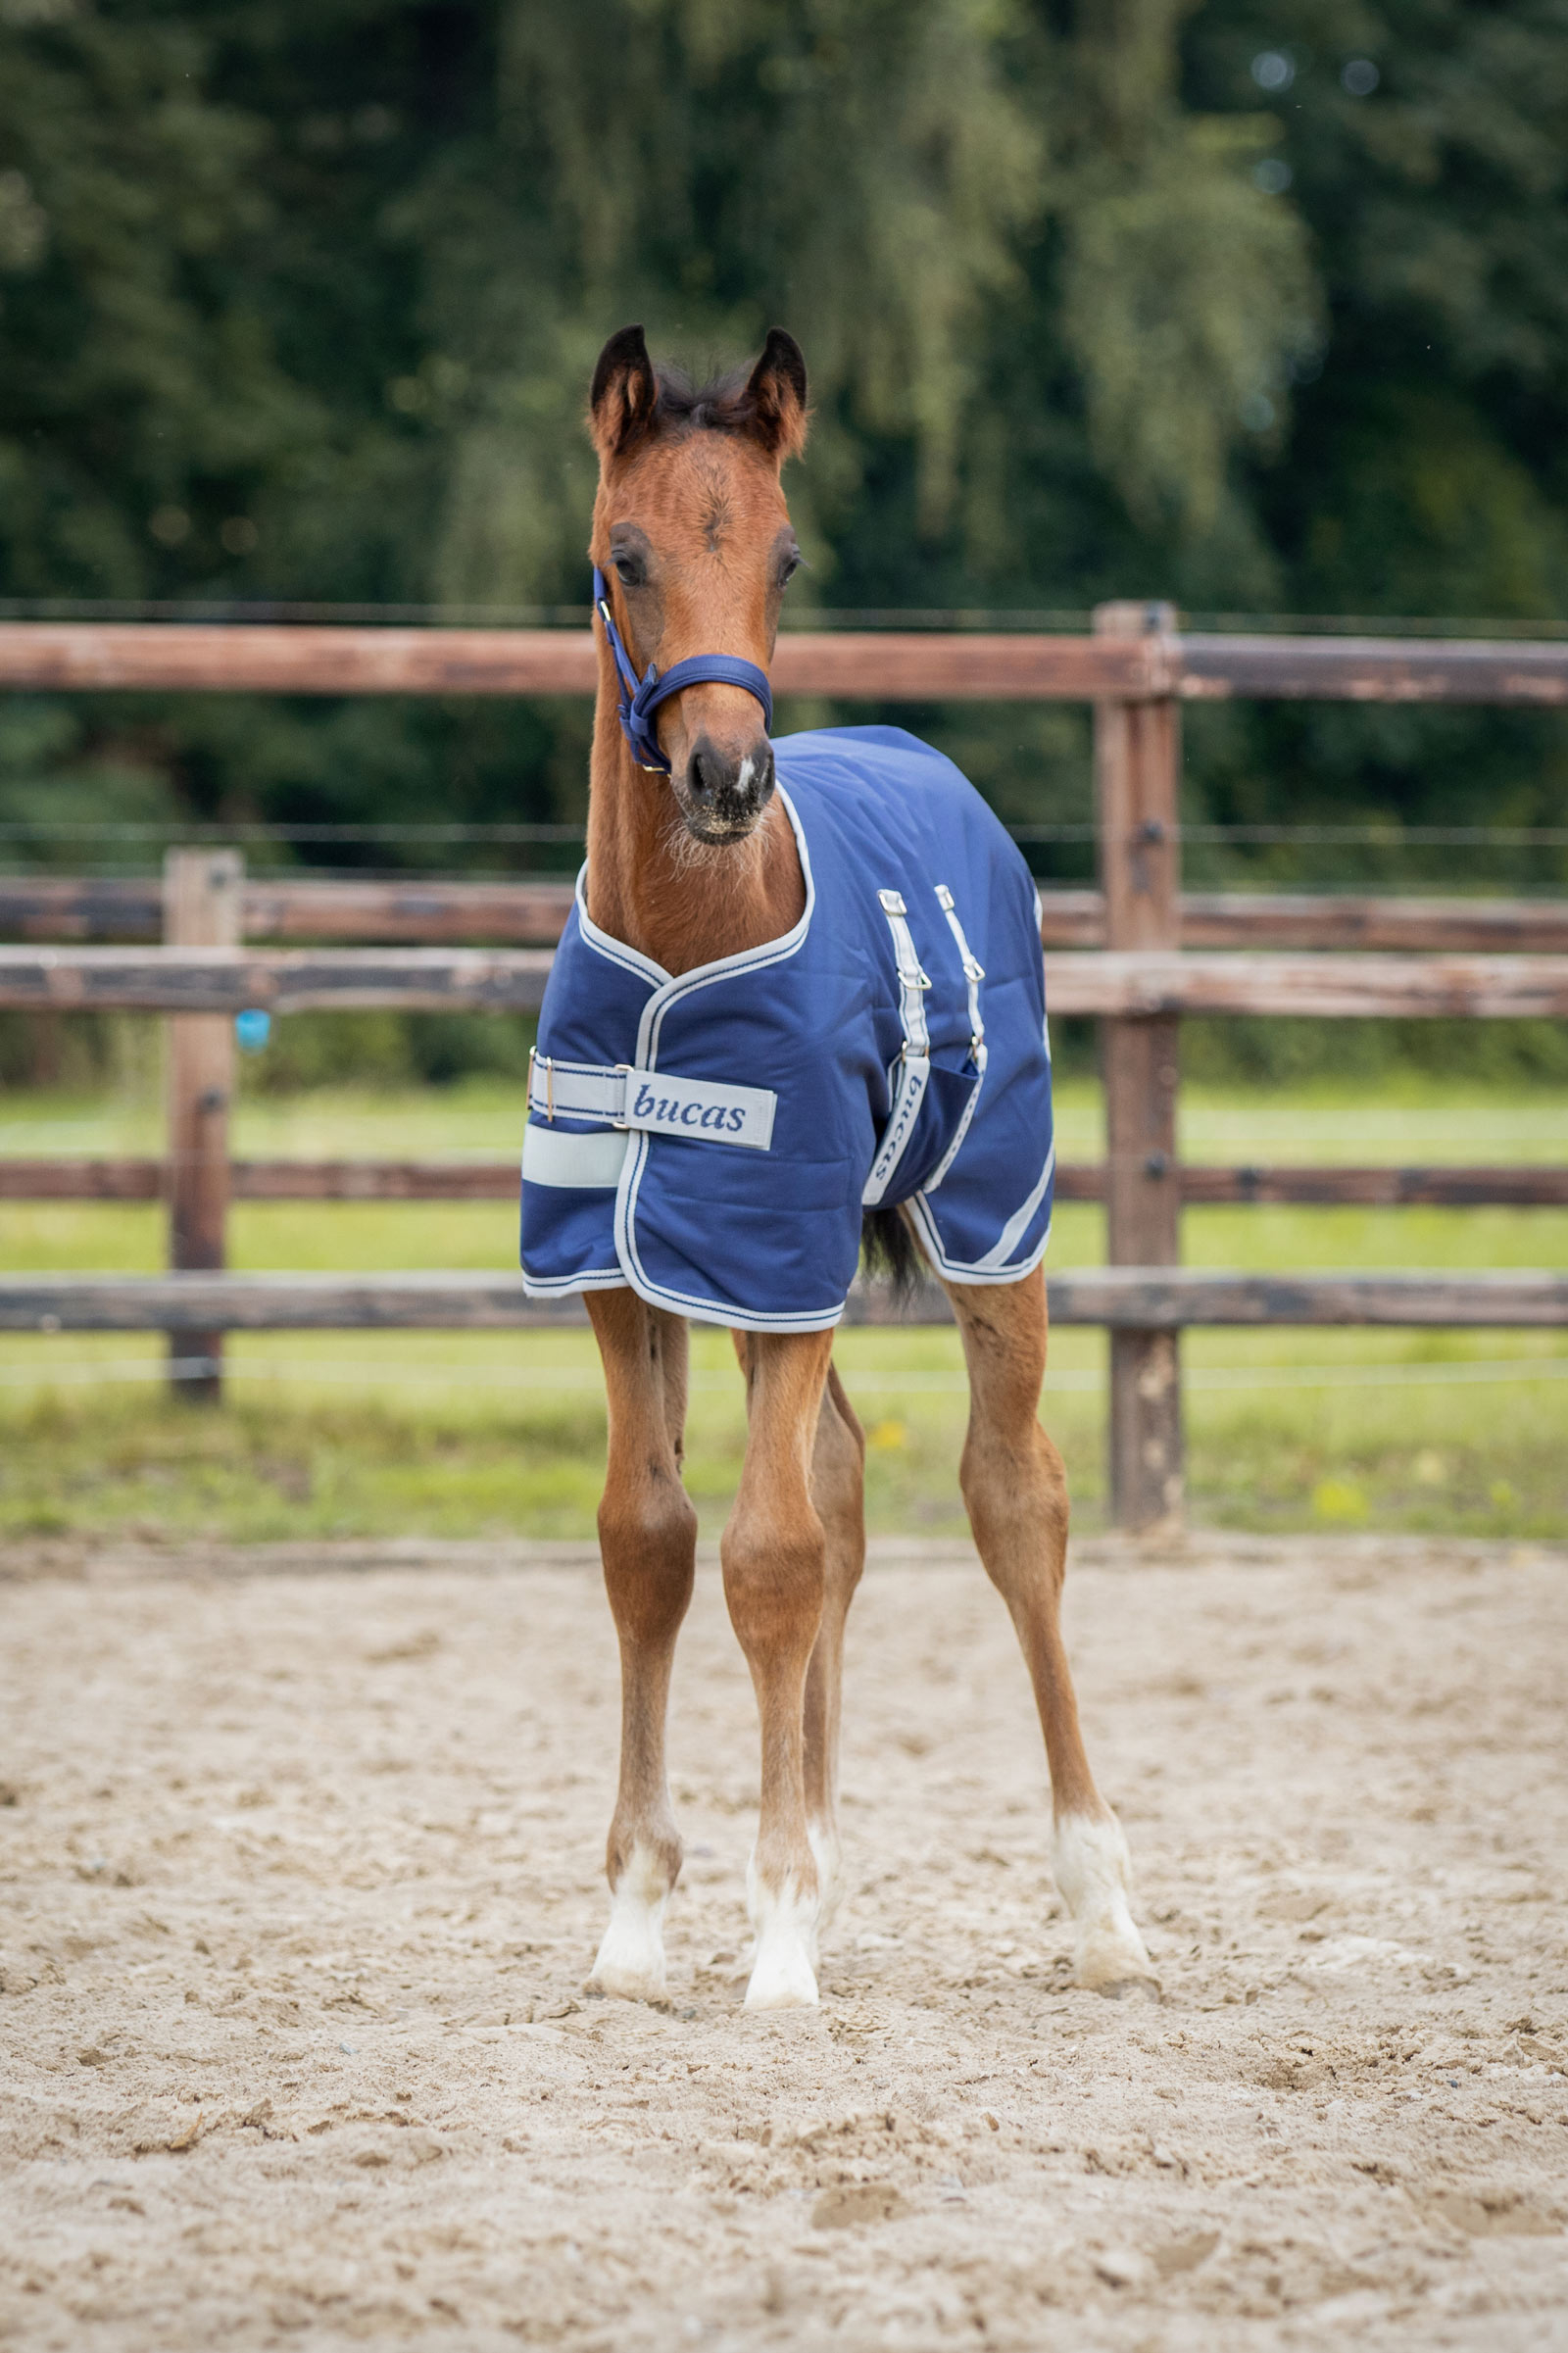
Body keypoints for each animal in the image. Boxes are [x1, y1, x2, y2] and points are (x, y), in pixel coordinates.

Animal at [521, 322, 1156, 2012]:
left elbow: (772, 1556)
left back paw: (1102, 1904)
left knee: (1013, 1500)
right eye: (626, 554)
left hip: (992, 1223)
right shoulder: (633, 1268)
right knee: (849, 1480)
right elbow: (654, 1543)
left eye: (785, 554)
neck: (691, 949)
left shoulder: (783, 1248)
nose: (729, 778)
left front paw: (781, 1941)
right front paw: (643, 1922)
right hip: (761, 1286)